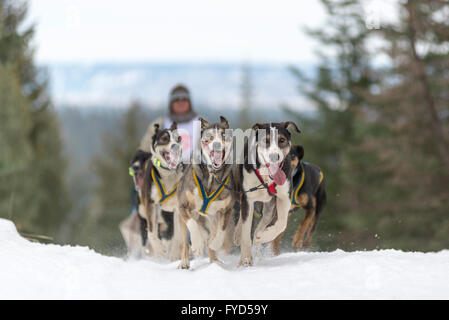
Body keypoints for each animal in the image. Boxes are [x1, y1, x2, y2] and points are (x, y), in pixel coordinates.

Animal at [177, 116, 236, 268]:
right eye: (209, 138)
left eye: (223, 134)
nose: (217, 145)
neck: (211, 175)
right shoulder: (183, 206)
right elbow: (192, 225)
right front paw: (197, 245)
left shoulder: (226, 209)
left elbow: (221, 230)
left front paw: (215, 244)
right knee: (185, 241)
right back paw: (185, 261)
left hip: (212, 218)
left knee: (211, 235)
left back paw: (214, 259)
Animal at [233, 121, 300, 266]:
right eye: (266, 140)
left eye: (282, 140)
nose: (274, 157)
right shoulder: (247, 198)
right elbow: (246, 231)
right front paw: (245, 260)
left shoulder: (284, 197)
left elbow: (281, 224)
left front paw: (263, 236)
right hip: (239, 191)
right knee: (242, 217)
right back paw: (238, 234)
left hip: (270, 206)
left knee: (263, 222)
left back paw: (259, 235)